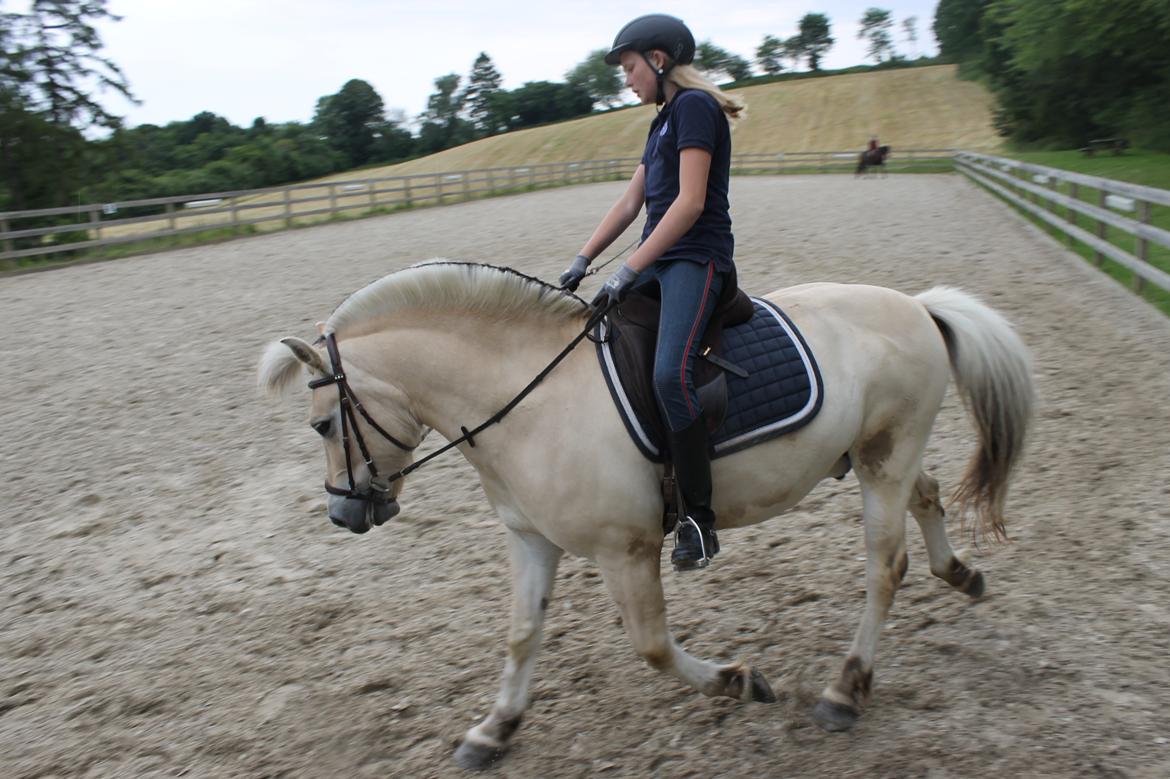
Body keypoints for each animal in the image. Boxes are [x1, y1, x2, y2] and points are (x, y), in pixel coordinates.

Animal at [258, 259, 1034, 762]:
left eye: (322, 425)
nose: (342, 515)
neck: (524, 397)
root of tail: (917, 305)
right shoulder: (531, 540)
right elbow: (521, 635)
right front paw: (494, 729)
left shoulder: (625, 549)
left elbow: (652, 645)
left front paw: (738, 681)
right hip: (879, 457)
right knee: (928, 495)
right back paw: (961, 573)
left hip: (883, 460)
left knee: (883, 567)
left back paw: (846, 690)